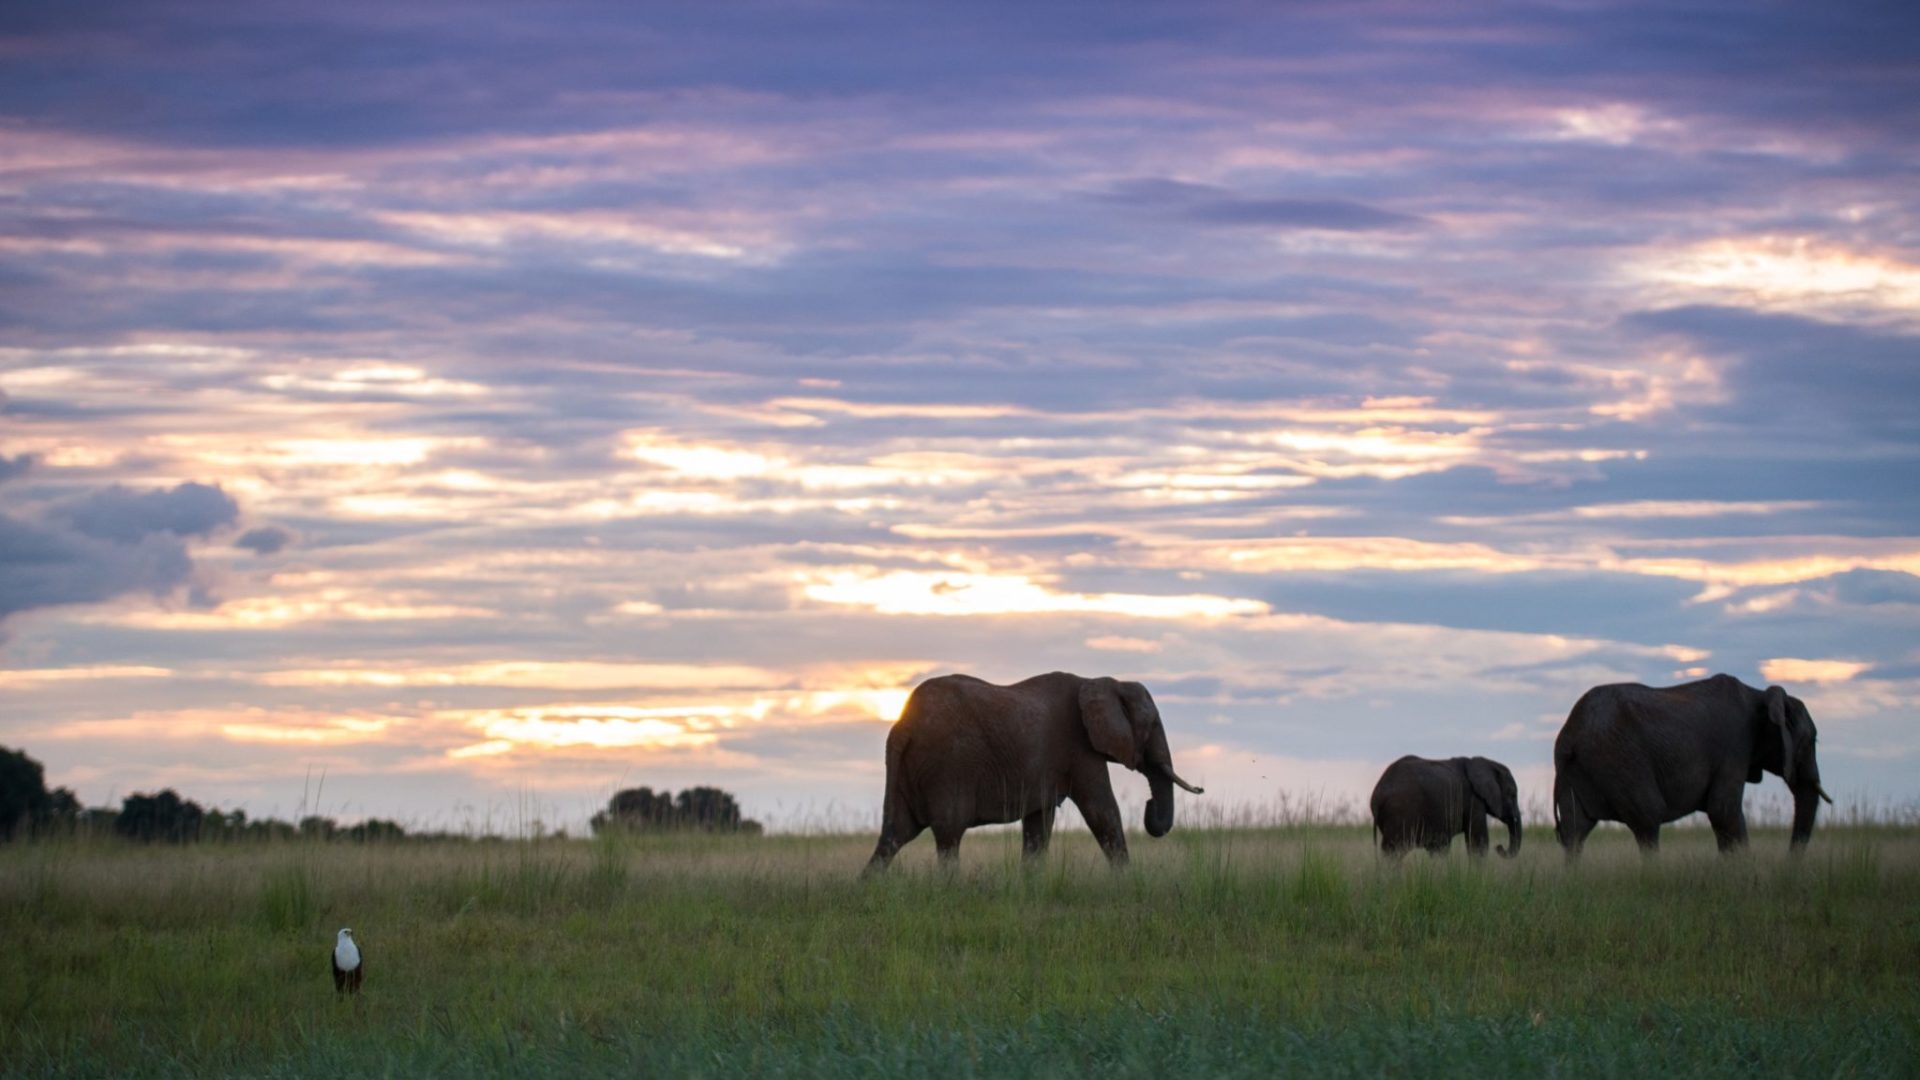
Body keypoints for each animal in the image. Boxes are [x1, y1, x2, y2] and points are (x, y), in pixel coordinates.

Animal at [863, 672, 1203, 873]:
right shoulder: (1080, 748)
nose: (1148, 805)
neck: (1104, 682)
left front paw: (1030, 883)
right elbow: (1102, 810)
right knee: (948, 835)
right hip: (947, 767)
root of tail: (903, 726)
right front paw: (1127, 881)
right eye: (1153, 725)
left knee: (895, 834)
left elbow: (1039, 824)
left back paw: (866, 888)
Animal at [1369, 755, 1521, 858]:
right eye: (1512, 795)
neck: (1487, 763)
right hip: (1400, 812)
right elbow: (1478, 843)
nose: (1499, 847)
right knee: (1394, 852)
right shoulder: (1474, 799)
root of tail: (1377, 794)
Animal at [1553, 673, 1834, 855]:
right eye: (1810, 742)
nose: (1790, 860)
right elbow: (1723, 810)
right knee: (1648, 822)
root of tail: (1569, 736)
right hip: (1621, 760)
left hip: (1578, 770)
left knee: (1575, 830)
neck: (1760, 694)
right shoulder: (1734, 746)